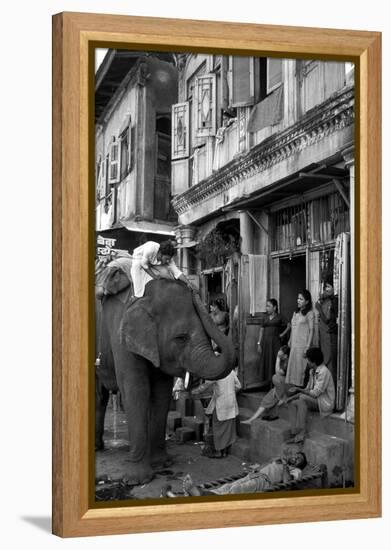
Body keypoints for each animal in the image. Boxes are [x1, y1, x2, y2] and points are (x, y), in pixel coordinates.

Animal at [95, 270, 236, 488]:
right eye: (181, 338)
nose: (192, 287)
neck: (145, 296)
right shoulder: (121, 339)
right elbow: (137, 390)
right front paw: (136, 480)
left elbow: (161, 392)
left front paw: (162, 465)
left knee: (101, 397)